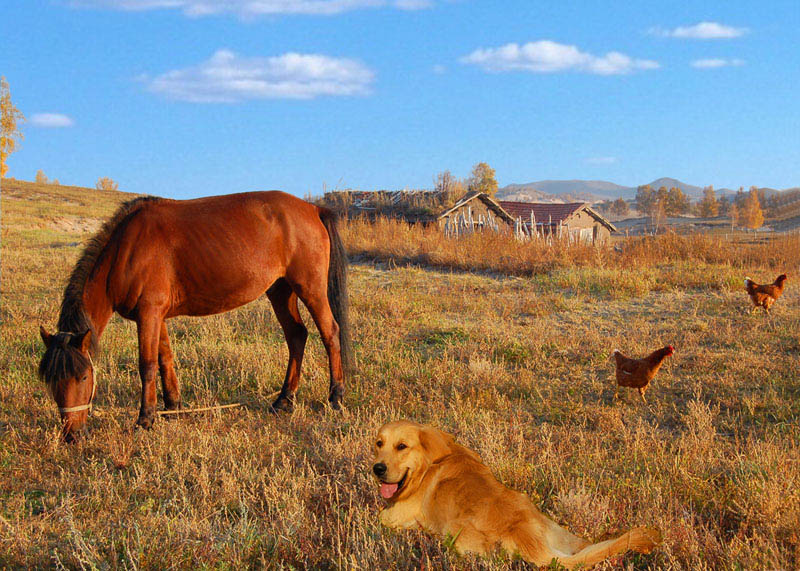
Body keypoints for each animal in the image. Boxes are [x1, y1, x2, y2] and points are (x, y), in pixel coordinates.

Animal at [37, 192, 350, 442]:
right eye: (51, 380)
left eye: (83, 376)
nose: (71, 435)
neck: (126, 250)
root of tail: (313, 209)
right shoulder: (155, 316)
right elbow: (165, 359)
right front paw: (172, 406)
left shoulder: (149, 313)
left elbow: (147, 365)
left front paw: (145, 419)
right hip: (280, 290)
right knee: (297, 336)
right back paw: (284, 400)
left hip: (309, 288)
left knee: (330, 334)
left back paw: (335, 397)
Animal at [372, 420, 660, 568]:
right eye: (379, 443)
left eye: (402, 446)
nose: (377, 468)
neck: (427, 463)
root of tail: (526, 535)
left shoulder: (393, 517)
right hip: (564, 534)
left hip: (454, 533)